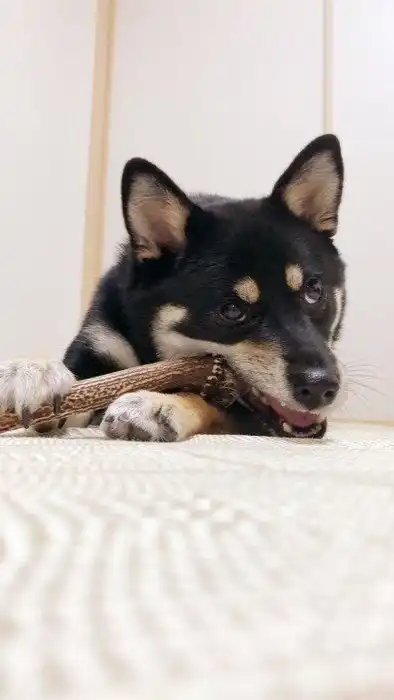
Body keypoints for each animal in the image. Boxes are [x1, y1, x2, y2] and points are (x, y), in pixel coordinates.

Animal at [0, 134, 344, 440]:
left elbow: (206, 399)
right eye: (232, 310)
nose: (321, 387)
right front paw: (32, 370)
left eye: (313, 291)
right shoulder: (98, 344)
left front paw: (156, 404)